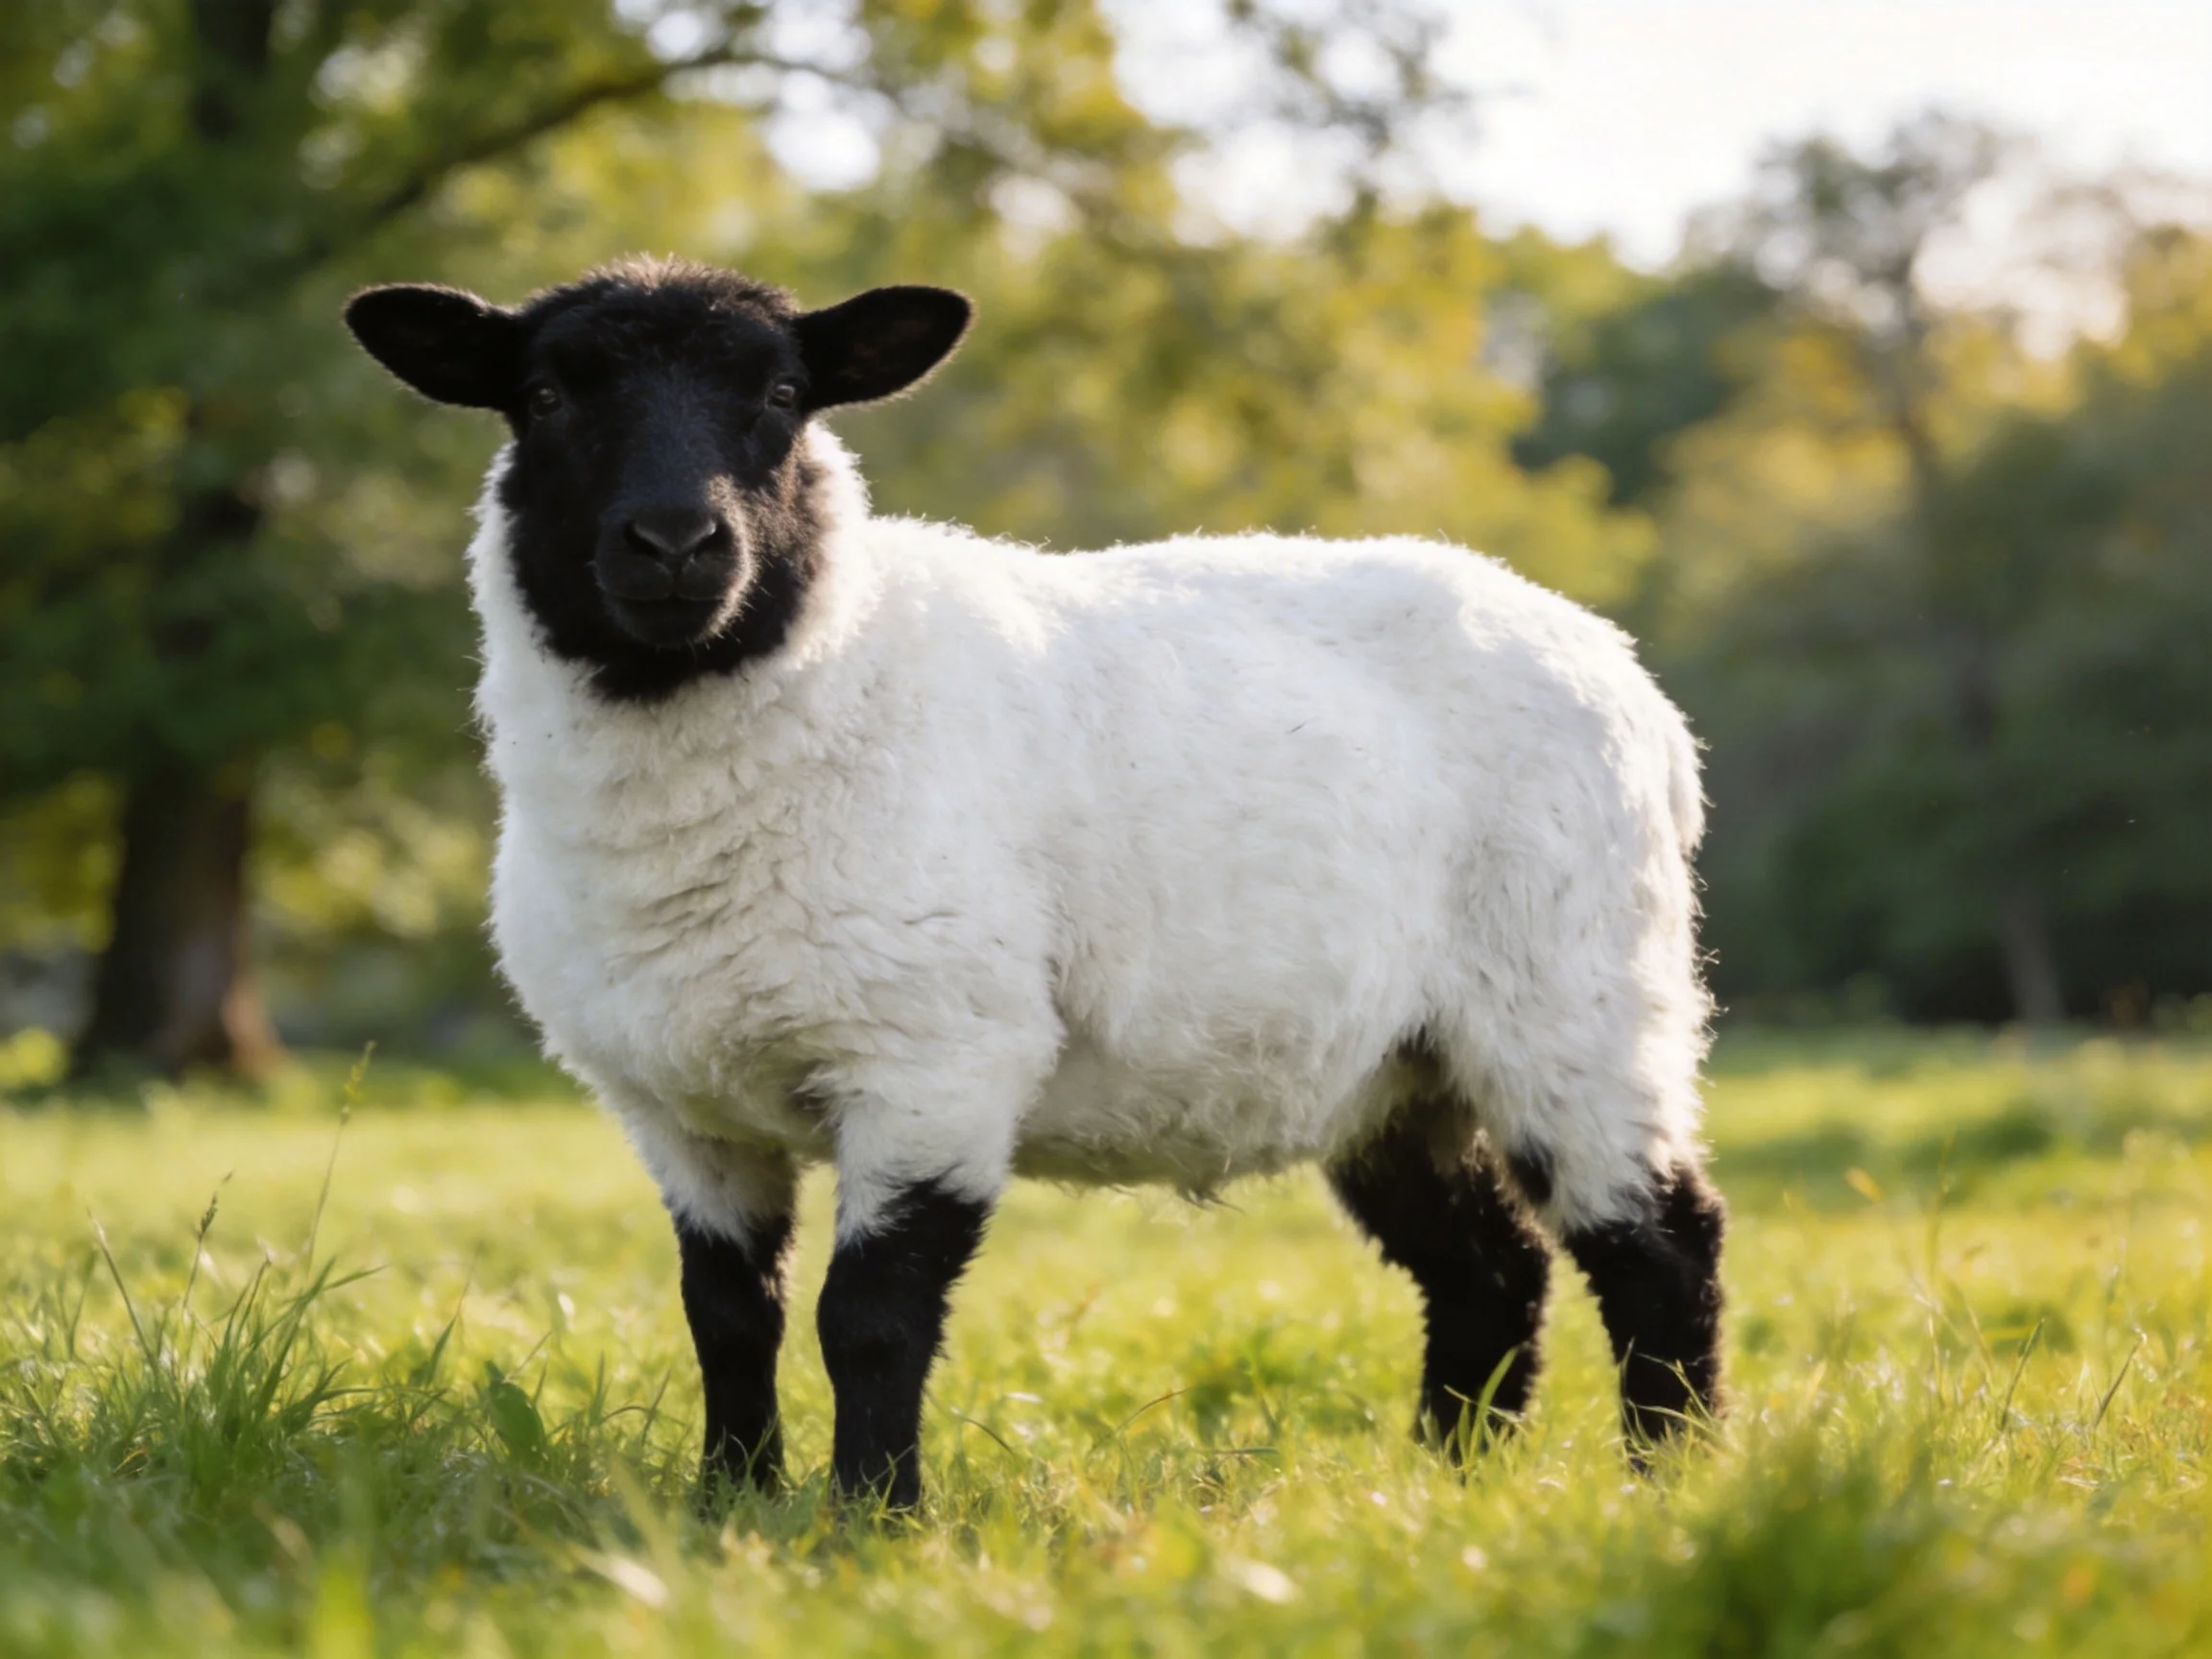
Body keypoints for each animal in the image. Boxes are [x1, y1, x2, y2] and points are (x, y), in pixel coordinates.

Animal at [344, 257, 1726, 1511]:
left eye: (785, 394)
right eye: (542, 397)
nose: (678, 543)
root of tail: (1627, 675)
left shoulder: (937, 1058)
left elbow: (868, 1318)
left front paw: (872, 1523)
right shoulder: (680, 1110)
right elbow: (728, 1314)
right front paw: (727, 1505)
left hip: (1577, 998)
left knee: (1660, 1243)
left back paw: (1672, 1481)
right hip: (1392, 1069)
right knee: (1491, 1271)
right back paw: (1448, 1486)